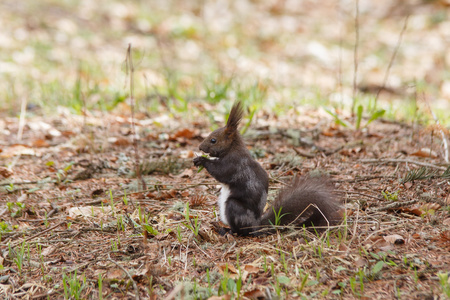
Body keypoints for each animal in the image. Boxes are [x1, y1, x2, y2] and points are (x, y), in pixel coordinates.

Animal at [193, 102, 342, 236]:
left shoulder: (235, 164)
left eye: (213, 140)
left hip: (234, 207)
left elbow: (221, 172)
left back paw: (227, 231)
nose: (200, 147)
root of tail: (255, 225)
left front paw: (201, 160)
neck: (232, 148)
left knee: (242, 231)